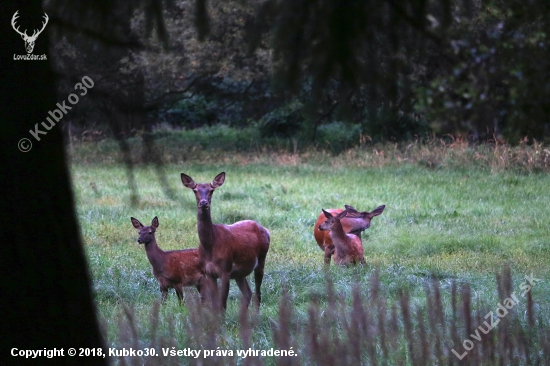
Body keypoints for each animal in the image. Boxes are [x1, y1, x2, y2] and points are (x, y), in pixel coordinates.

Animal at [181, 173, 272, 310]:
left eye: (211, 190)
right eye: (195, 190)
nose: (203, 203)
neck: (210, 246)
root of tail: (266, 230)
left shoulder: (225, 270)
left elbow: (222, 303)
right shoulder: (208, 273)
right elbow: (215, 303)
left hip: (261, 259)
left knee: (257, 294)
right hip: (240, 273)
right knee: (248, 293)